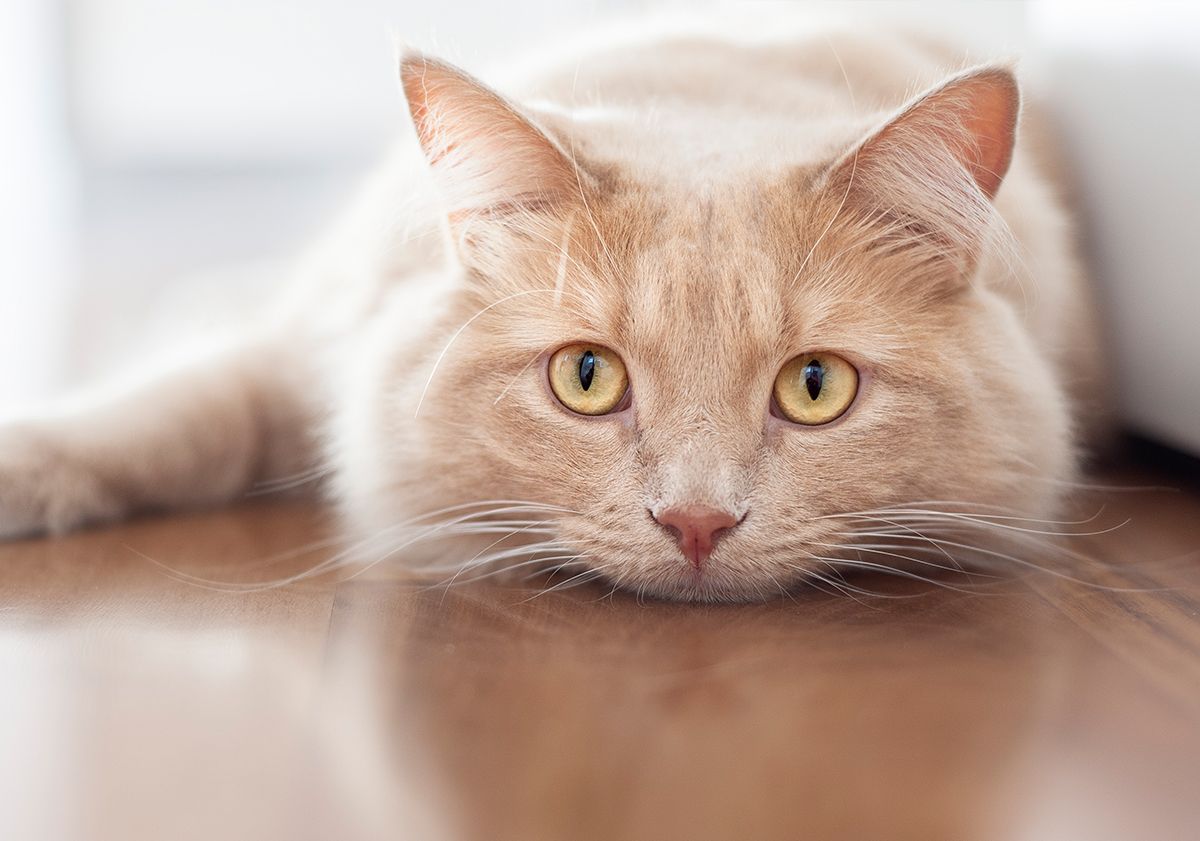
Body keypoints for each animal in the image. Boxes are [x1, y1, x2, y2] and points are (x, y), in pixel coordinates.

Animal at [0, 18, 1104, 597]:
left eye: (816, 387)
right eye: (586, 376)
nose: (697, 523)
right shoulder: (315, 342)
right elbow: (181, 412)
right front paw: (30, 467)